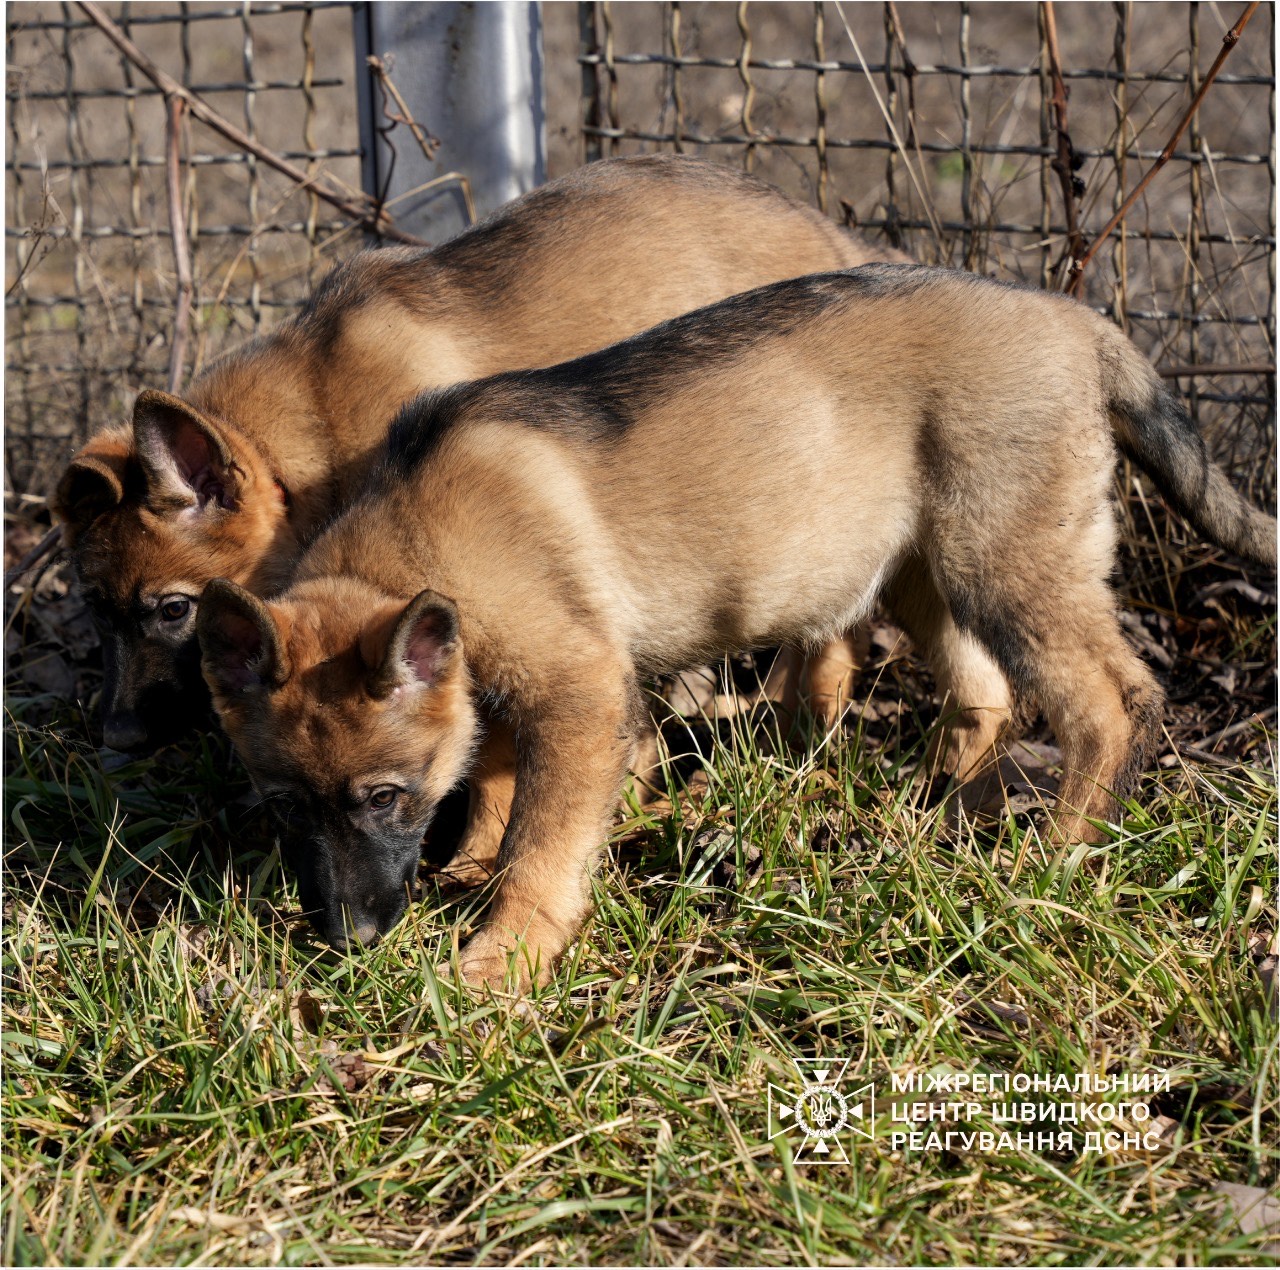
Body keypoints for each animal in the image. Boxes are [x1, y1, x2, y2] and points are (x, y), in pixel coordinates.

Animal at [194, 267, 1274, 998]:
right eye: (284, 807)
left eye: (381, 796)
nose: (347, 943)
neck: (410, 539)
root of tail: (1075, 319)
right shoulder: (492, 682)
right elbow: (493, 781)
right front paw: (465, 871)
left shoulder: (577, 690)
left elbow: (541, 840)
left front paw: (502, 957)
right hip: (926, 563)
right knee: (985, 690)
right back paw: (935, 815)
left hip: (1005, 561)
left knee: (1108, 700)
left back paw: (1052, 858)